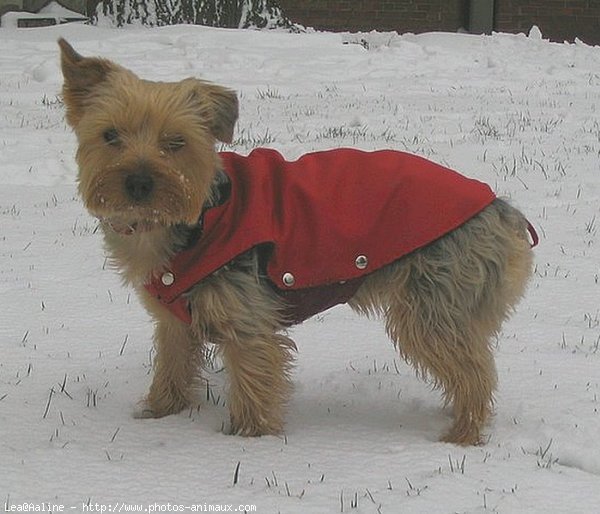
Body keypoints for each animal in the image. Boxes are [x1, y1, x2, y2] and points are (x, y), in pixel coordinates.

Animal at [59, 40, 536, 442]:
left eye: (175, 142)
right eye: (110, 136)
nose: (139, 183)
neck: (197, 218)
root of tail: (500, 209)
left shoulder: (247, 318)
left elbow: (254, 381)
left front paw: (247, 440)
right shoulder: (176, 319)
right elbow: (172, 367)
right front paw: (158, 414)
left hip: (432, 300)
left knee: (474, 370)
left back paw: (462, 435)